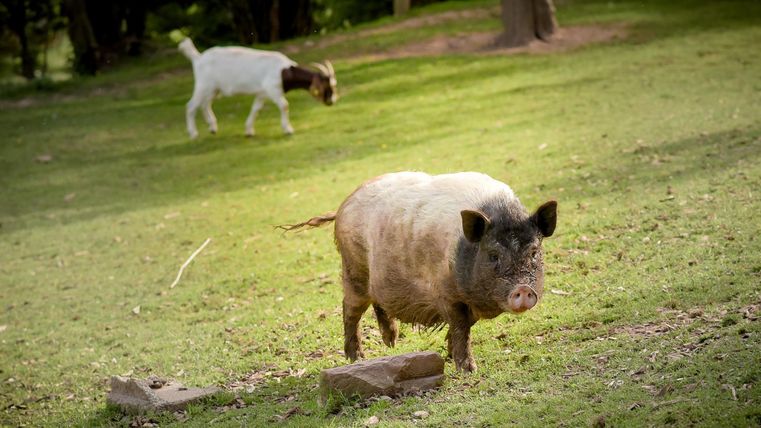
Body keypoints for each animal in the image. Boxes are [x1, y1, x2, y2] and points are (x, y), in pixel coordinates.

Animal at [178, 38, 337, 139]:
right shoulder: (272, 89)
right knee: (191, 106)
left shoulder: (262, 93)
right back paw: (193, 133)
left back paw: (212, 128)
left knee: (205, 104)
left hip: (214, 89)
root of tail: (198, 58)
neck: (285, 72)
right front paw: (288, 130)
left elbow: (256, 109)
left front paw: (249, 131)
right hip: (203, 85)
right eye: (327, 85)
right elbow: (284, 105)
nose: (332, 101)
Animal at [282, 172, 557, 372]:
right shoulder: (447, 295)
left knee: (379, 303)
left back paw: (391, 342)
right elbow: (461, 327)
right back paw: (357, 358)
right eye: (493, 255)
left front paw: (449, 356)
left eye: (534, 252)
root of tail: (342, 207)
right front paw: (468, 369)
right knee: (350, 309)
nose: (523, 289)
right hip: (353, 269)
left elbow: (464, 326)